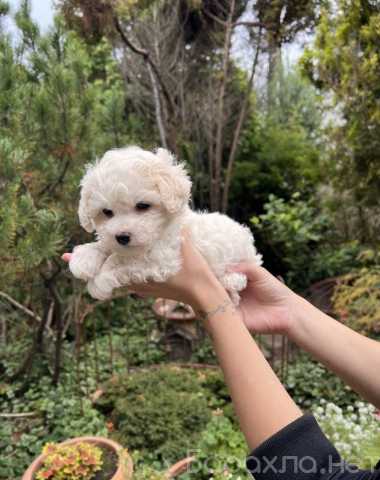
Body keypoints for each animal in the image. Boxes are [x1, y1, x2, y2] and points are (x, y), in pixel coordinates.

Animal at [68, 146, 262, 304]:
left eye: (142, 206)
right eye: (107, 212)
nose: (122, 237)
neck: (162, 230)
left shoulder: (161, 258)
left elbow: (119, 259)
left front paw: (99, 281)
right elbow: (106, 245)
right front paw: (84, 258)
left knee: (238, 282)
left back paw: (231, 280)